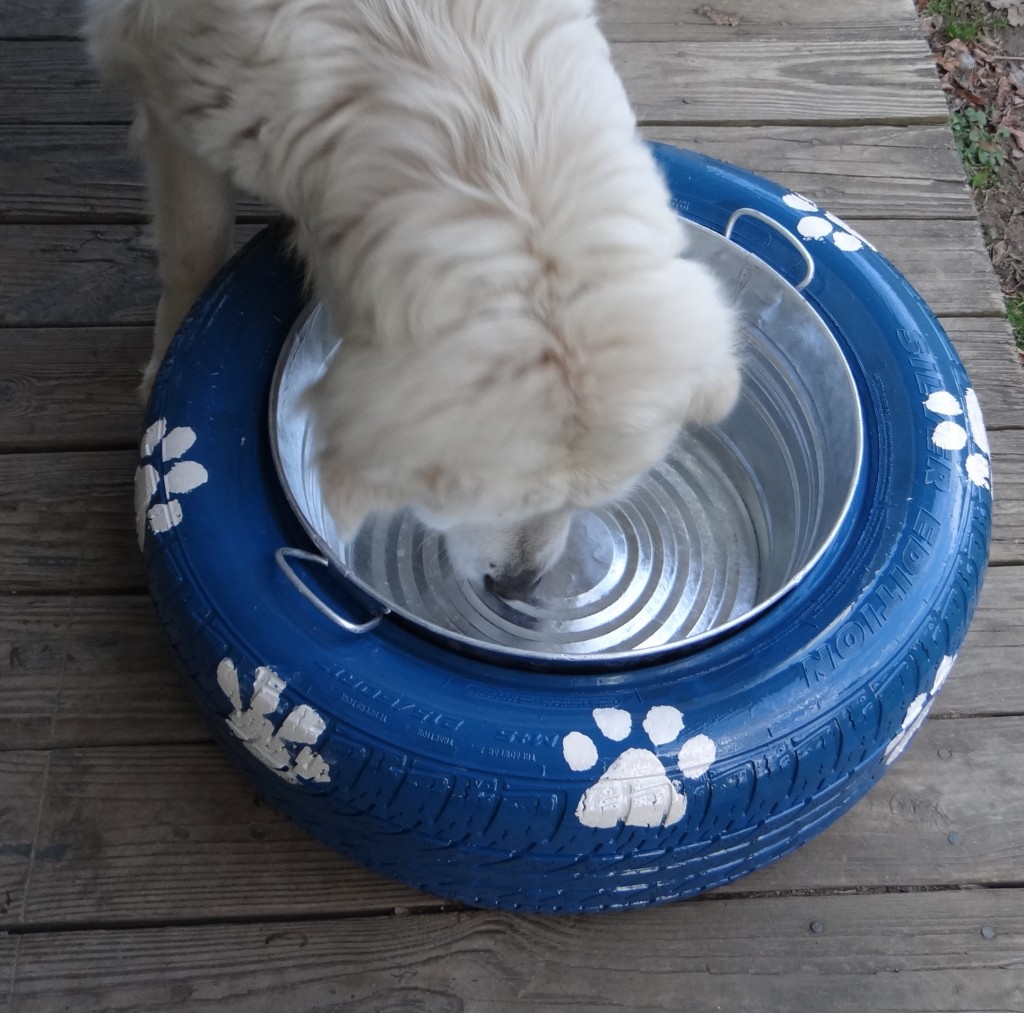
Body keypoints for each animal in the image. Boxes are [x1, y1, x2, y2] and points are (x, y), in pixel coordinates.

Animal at [86, 0, 737, 598]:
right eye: (477, 503)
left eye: (588, 502)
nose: (517, 587)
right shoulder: (174, 99)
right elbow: (195, 243)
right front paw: (171, 352)